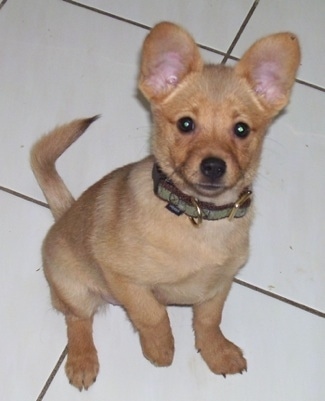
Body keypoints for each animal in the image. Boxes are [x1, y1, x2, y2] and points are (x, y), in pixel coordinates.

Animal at [30, 21, 298, 388]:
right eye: (186, 124)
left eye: (241, 129)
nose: (213, 166)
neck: (198, 216)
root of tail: (64, 214)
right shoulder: (123, 277)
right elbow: (152, 314)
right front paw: (160, 348)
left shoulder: (219, 285)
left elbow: (209, 321)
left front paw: (217, 352)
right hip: (72, 287)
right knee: (77, 319)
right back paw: (82, 360)